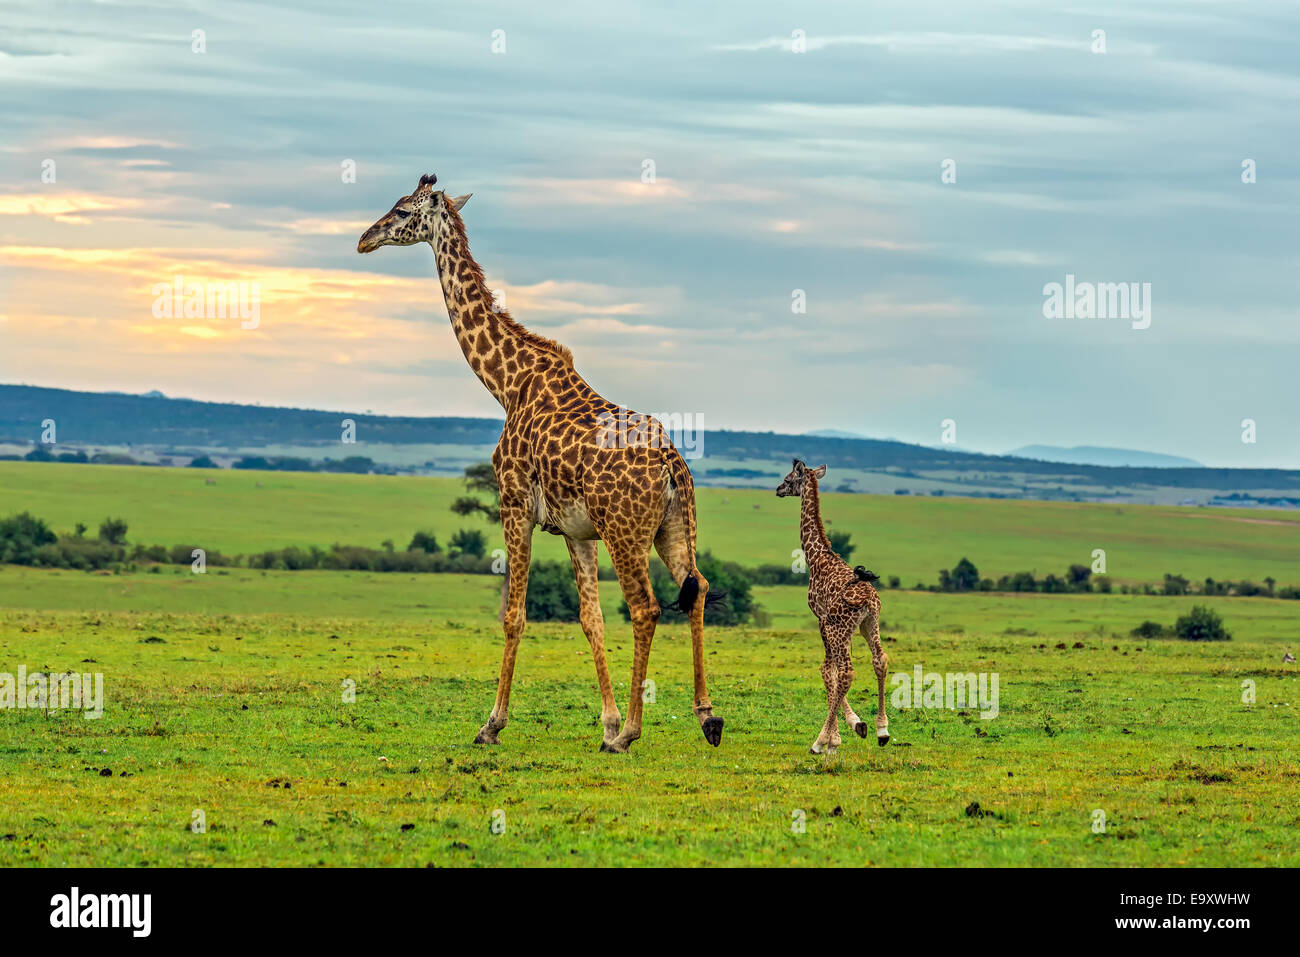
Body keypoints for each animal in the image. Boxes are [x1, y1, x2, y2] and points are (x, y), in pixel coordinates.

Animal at [358, 174, 722, 754]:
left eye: (401, 210)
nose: (364, 239)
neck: (506, 383)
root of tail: (672, 461)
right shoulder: (576, 530)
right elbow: (591, 619)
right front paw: (606, 722)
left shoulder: (512, 504)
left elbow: (514, 615)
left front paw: (492, 724)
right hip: (670, 527)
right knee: (699, 588)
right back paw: (706, 717)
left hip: (626, 532)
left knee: (646, 607)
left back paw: (635, 733)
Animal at [774, 460, 889, 748]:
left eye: (788, 479)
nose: (778, 489)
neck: (816, 557)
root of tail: (868, 600)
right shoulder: (837, 626)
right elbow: (832, 670)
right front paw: (856, 724)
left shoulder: (821, 619)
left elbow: (828, 671)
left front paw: (833, 737)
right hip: (869, 624)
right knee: (880, 660)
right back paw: (883, 730)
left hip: (840, 628)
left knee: (847, 671)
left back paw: (819, 741)